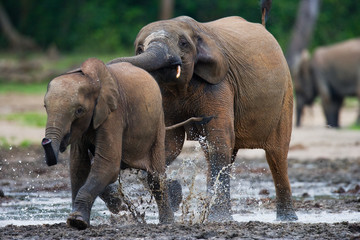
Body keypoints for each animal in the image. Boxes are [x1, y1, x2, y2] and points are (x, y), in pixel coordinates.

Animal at [41, 58, 180, 231]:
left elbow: (107, 165)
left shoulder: (114, 114)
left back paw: (166, 222)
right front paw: (75, 220)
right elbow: (78, 166)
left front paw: (77, 221)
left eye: (79, 111)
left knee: (155, 176)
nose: (46, 141)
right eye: (45, 107)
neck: (93, 80)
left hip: (159, 122)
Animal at [109, 2, 298, 221]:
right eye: (139, 49)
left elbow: (219, 139)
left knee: (276, 154)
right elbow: (169, 144)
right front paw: (176, 196)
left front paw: (218, 219)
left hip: (286, 95)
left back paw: (286, 218)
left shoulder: (220, 84)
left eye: (183, 43)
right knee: (222, 154)